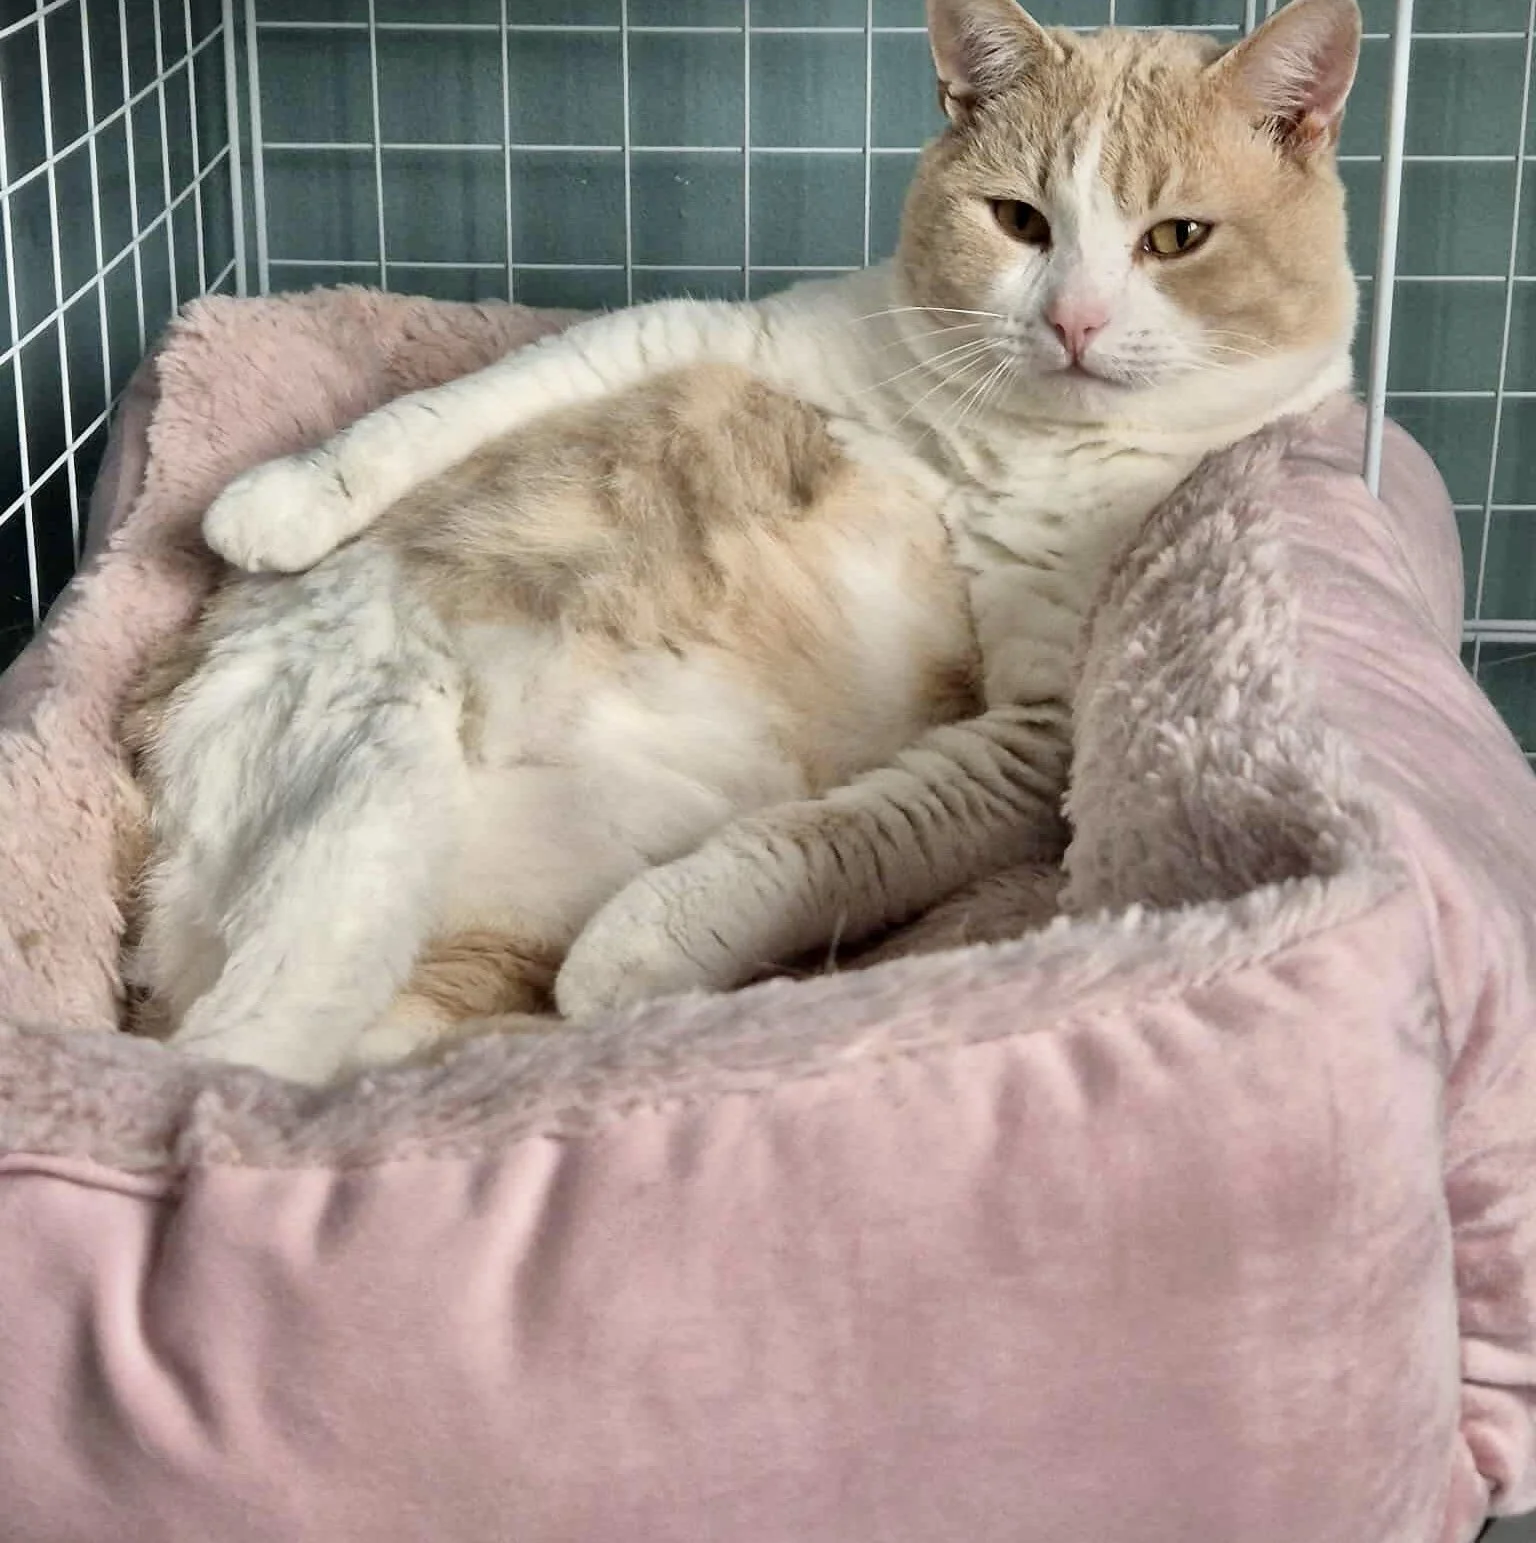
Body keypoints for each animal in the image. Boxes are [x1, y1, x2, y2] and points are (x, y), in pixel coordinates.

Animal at [126, 0, 1362, 1084]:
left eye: (1176, 239)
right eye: (1020, 221)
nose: (1074, 320)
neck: (1013, 448)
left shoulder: (1041, 729)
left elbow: (833, 837)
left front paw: (638, 948)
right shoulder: (716, 335)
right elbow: (445, 408)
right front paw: (278, 502)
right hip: (368, 801)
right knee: (229, 1060)